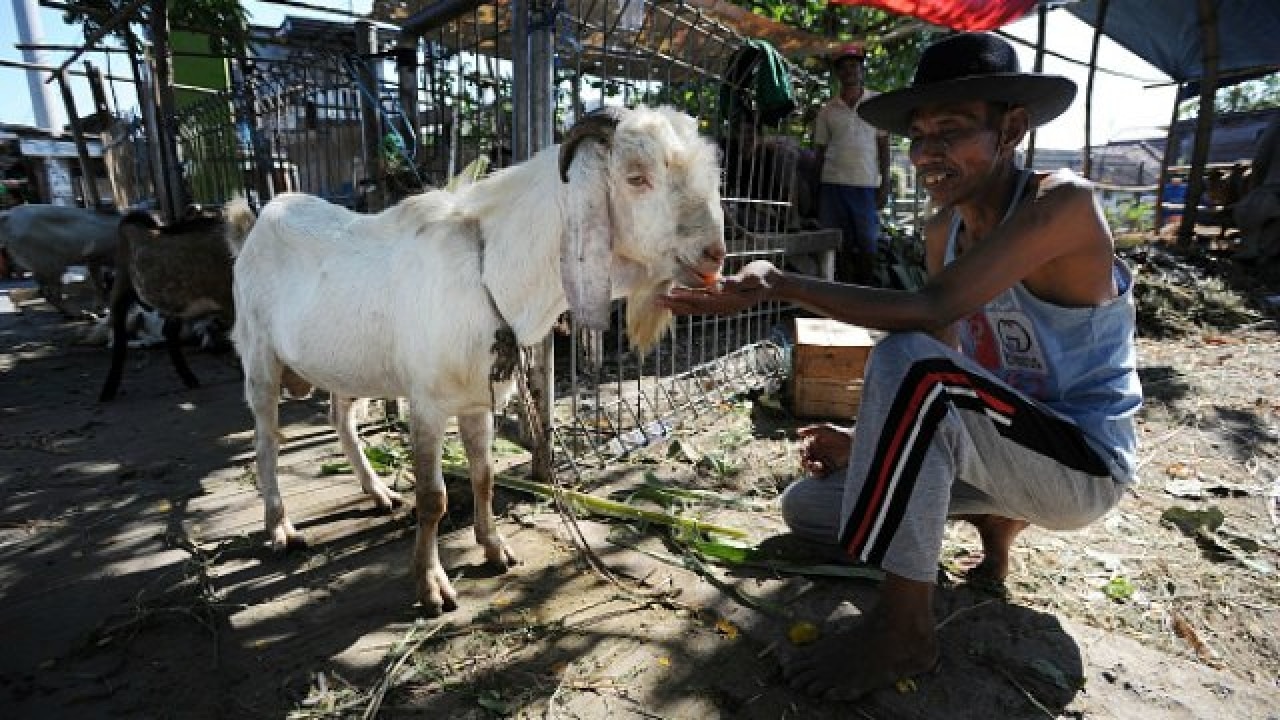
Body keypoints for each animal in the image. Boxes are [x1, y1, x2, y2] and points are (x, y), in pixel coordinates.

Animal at [225, 105, 727, 609]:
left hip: (345, 367)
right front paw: (431, 584)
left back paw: (378, 492)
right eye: (636, 177)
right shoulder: (427, 404)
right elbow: (434, 498)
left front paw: (494, 548)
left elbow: (484, 476)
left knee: (340, 418)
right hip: (259, 356)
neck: (490, 273)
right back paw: (281, 528)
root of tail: (256, 225)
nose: (715, 254)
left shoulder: (475, 400)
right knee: (266, 441)